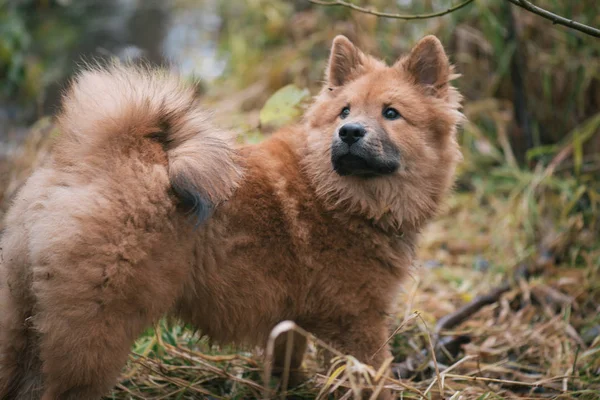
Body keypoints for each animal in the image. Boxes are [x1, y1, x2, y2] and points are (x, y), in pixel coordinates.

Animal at [0, 36, 464, 398]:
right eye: (346, 112)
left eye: (391, 113)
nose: (349, 133)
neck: (338, 195)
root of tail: (99, 157)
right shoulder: (359, 323)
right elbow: (374, 379)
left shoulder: (291, 320)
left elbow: (286, 365)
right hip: (96, 332)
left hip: (21, 317)